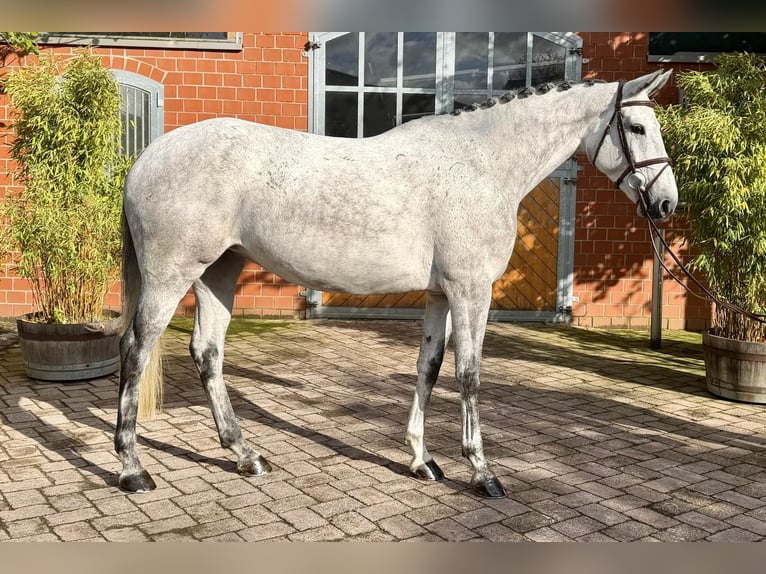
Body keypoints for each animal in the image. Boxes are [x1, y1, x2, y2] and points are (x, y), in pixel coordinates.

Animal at [116, 69, 678, 497]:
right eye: (635, 126)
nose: (667, 203)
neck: (482, 164)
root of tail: (146, 157)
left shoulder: (440, 295)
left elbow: (428, 369)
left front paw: (422, 461)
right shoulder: (471, 291)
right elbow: (469, 375)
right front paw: (483, 473)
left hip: (219, 271)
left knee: (207, 352)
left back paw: (245, 454)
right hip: (172, 275)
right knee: (136, 349)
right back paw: (132, 469)